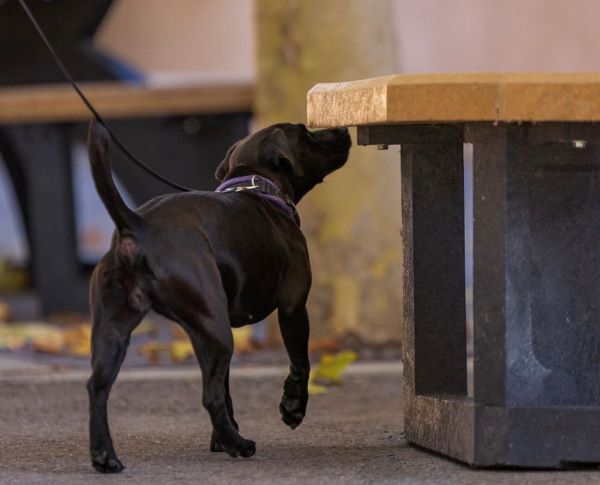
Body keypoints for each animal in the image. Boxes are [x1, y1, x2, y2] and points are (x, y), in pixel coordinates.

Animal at [86, 120, 351, 473]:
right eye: (306, 133)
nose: (344, 130)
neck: (257, 187)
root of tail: (136, 226)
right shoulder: (294, 307)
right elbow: (300, 363)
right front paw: (292, 407)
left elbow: (225, 388)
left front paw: (220, 438)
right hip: (216, 330)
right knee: (208, 396)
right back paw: (239, 445)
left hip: (118, 331)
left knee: (97, 387)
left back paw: (105, 456)